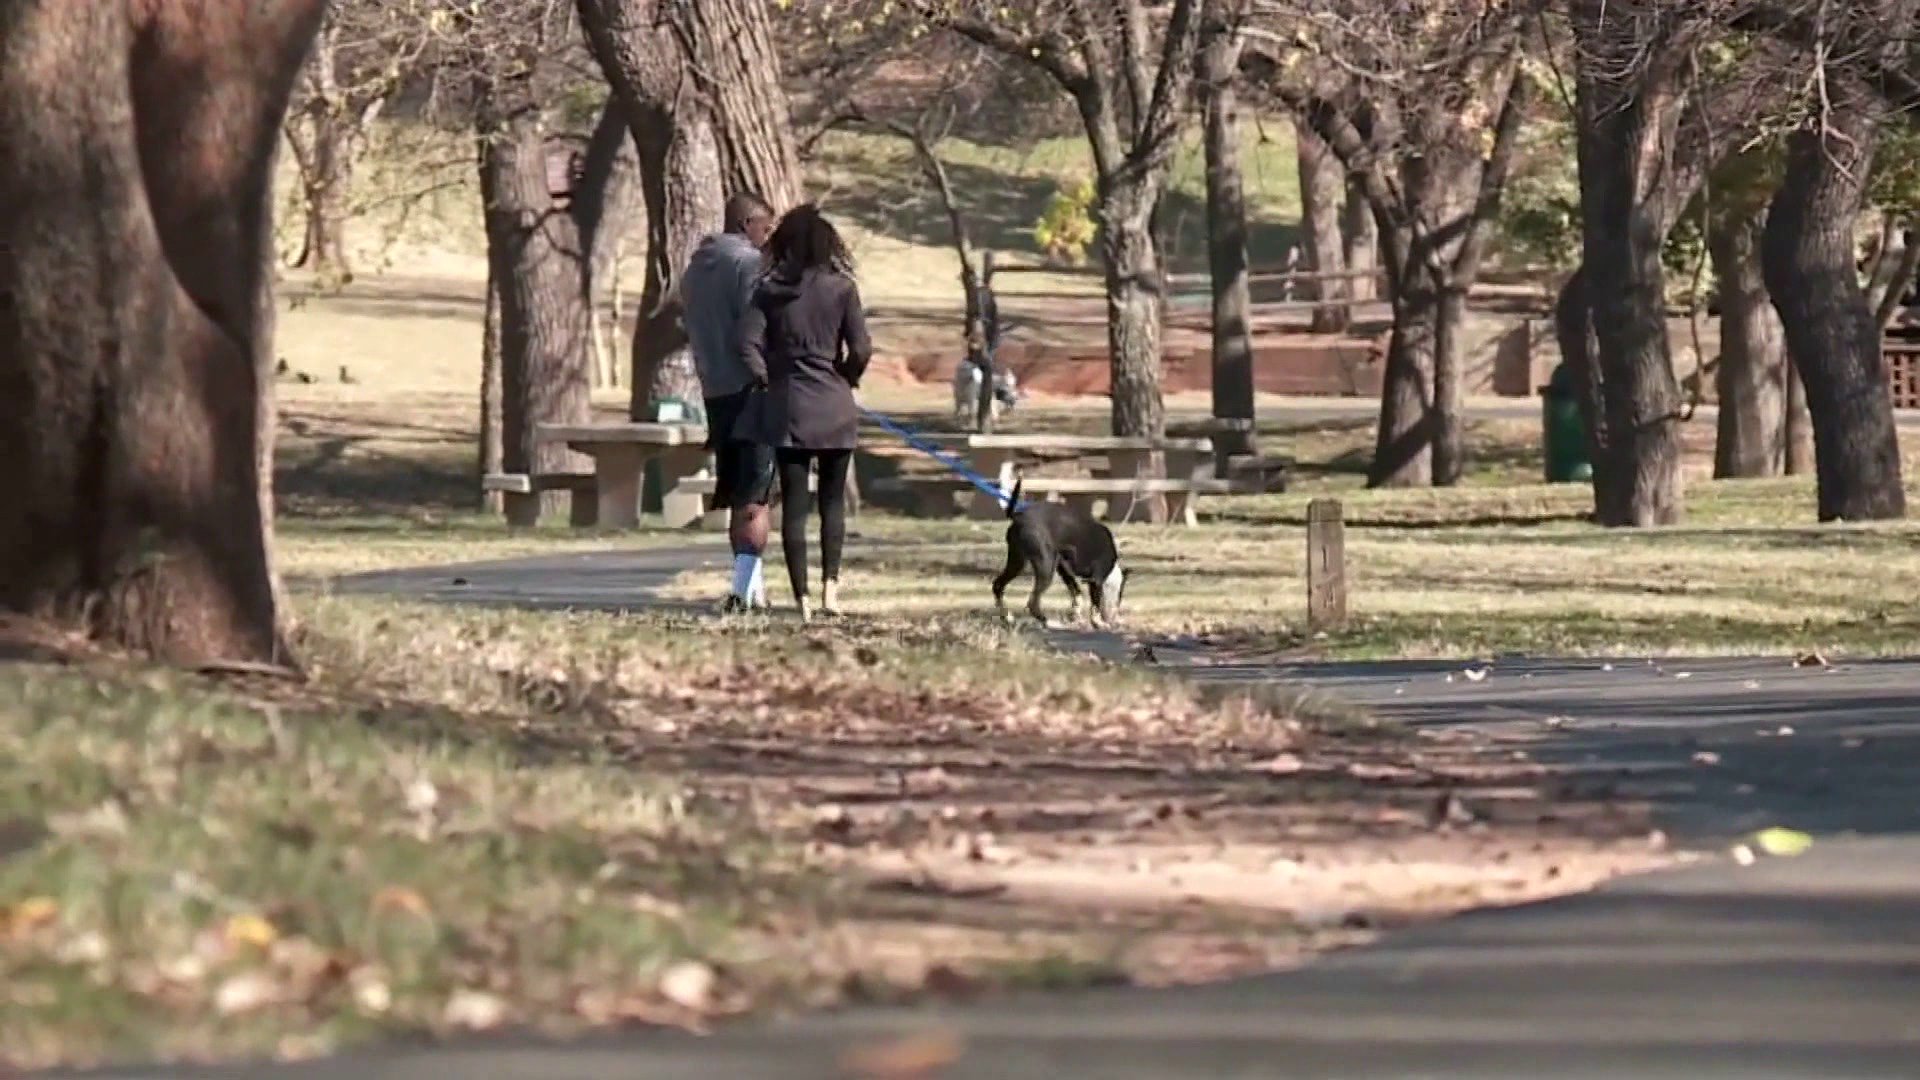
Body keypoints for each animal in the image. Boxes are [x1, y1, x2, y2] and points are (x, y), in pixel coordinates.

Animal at [990, 476, 1121, 622]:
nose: (1115, 615)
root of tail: (1018, 516)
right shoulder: (1096, 580)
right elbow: (1095, 606)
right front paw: (1098, 622)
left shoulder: (1064, 569)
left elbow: (1076, 593)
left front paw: (1076, 615)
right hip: (1045, 569)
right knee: (1032, 603)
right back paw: (1047, 621)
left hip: (1017, 563)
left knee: (998, 585)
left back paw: (1007, 616)